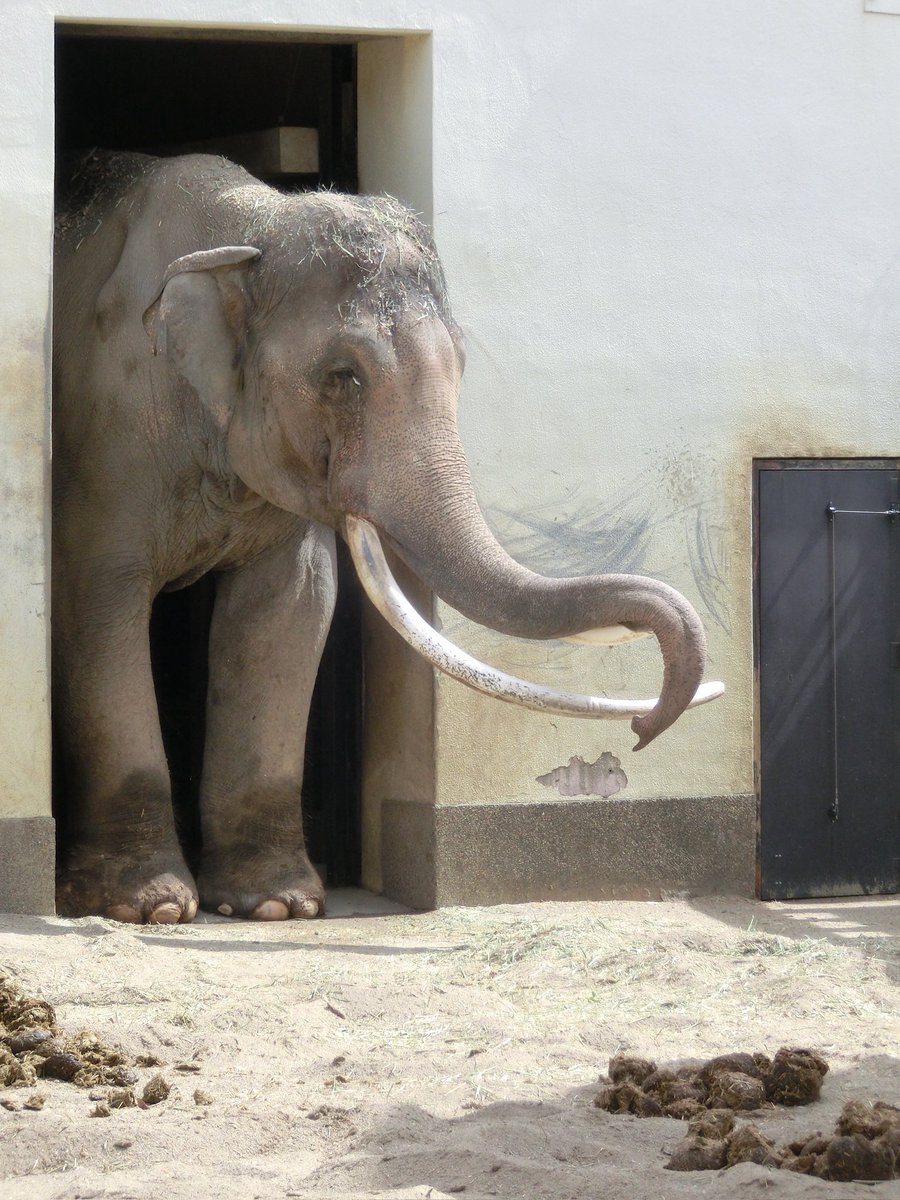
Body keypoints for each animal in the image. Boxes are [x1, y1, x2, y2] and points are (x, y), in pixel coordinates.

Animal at [52, 151, 722, 925]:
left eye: (459, 365)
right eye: (342, 375)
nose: (641, 734)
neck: (253, 221)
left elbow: (290, 610)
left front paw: (280, 906)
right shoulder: (106, 436)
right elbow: (99, 606)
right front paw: (151, 907)